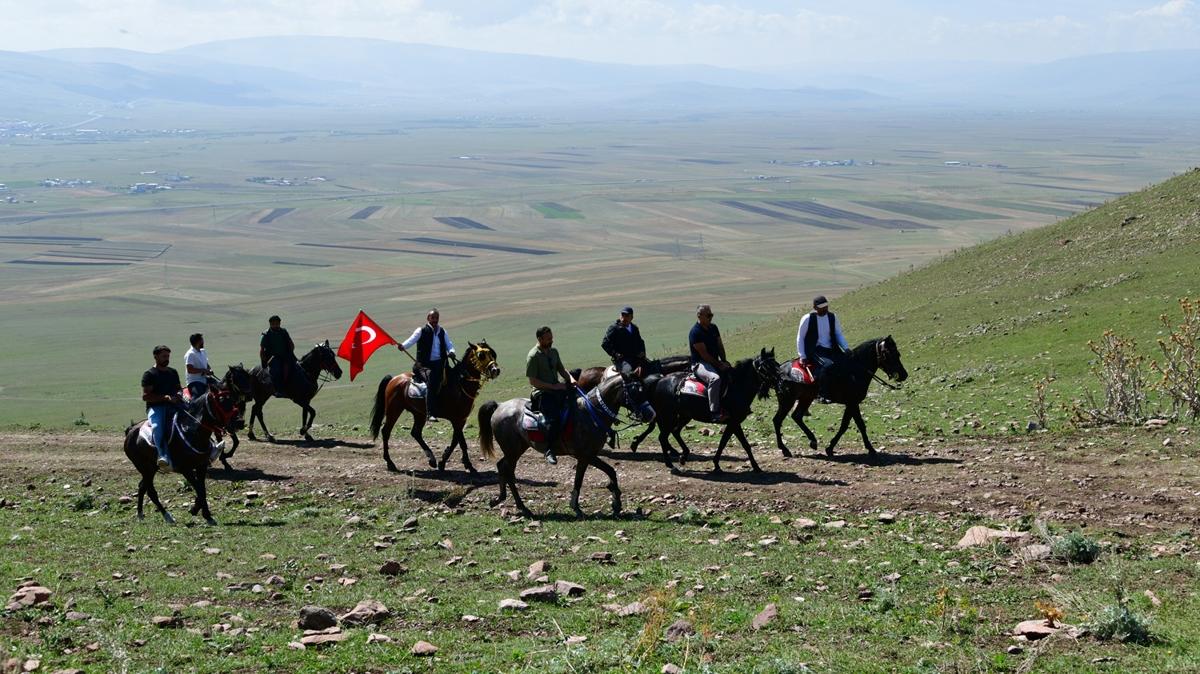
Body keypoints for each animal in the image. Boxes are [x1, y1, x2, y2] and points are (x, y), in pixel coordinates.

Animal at [364, 338, 496, 470]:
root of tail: (393, 379)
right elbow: (461, 442)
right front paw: (468, 464)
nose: (495, 370)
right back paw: (390, 462)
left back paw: (431, 459)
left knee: (415, 433)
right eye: (481, 355)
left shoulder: (461, 419)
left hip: (419, 413)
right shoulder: (456, 419)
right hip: (394, 410)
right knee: (386, 432)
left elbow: (456, 441)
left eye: (493, 354)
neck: (460, 384)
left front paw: (443, 461)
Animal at [475, 369, 652, 515]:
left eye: (644, 389)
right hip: (513, 450)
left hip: (517, 449)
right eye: (635, 391)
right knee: (509, 472)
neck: (591, 413)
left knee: (501, 466)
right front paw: (583, 506)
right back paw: (522, 506)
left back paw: (500, 498)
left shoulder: (587, 456)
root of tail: (499, 406)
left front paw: (612, 503)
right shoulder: (586, 455)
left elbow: (601, 474)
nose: (651, 414)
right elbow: (590, 477)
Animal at [648, 345, 777, 472]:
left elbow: (724, 443)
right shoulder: (734, 422)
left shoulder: (732, 423)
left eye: (776, 364)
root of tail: (659, 380)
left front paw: (717, 464)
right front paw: (756, 467)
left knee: (675, 431)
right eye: (765, 367)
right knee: (662, 437)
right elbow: (743, 444)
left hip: (684, 416)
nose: (779, 381)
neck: (737, 387)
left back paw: (683, 457)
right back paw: (670, 463)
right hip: (668, 416)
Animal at [772, 335, 902, 455]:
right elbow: (856, 425)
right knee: (777, 420)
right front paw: (870, 448)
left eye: (898, 353)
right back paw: (785, 449)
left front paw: (830, 448)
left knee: (796, 416)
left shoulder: (851, 404)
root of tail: (779, 369)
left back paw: (812, 441)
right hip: (787, 400)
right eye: (889, 353)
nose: (903, 375)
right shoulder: (852, 403)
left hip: (805, 398)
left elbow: (848, 425)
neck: (855, 371)